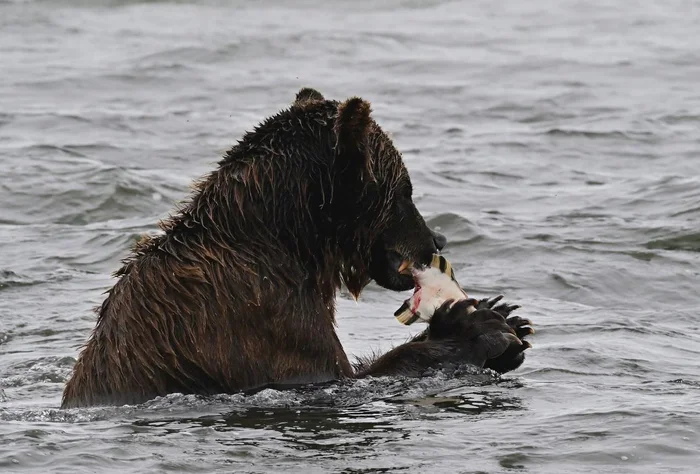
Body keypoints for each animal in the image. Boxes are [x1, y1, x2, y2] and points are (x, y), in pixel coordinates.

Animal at [61, 89, 532, 408]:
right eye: (404, 191)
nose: (436, 240)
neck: (292, 242)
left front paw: (508, 316)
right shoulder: (257, 316)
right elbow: (343, 375)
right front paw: (477, 326)